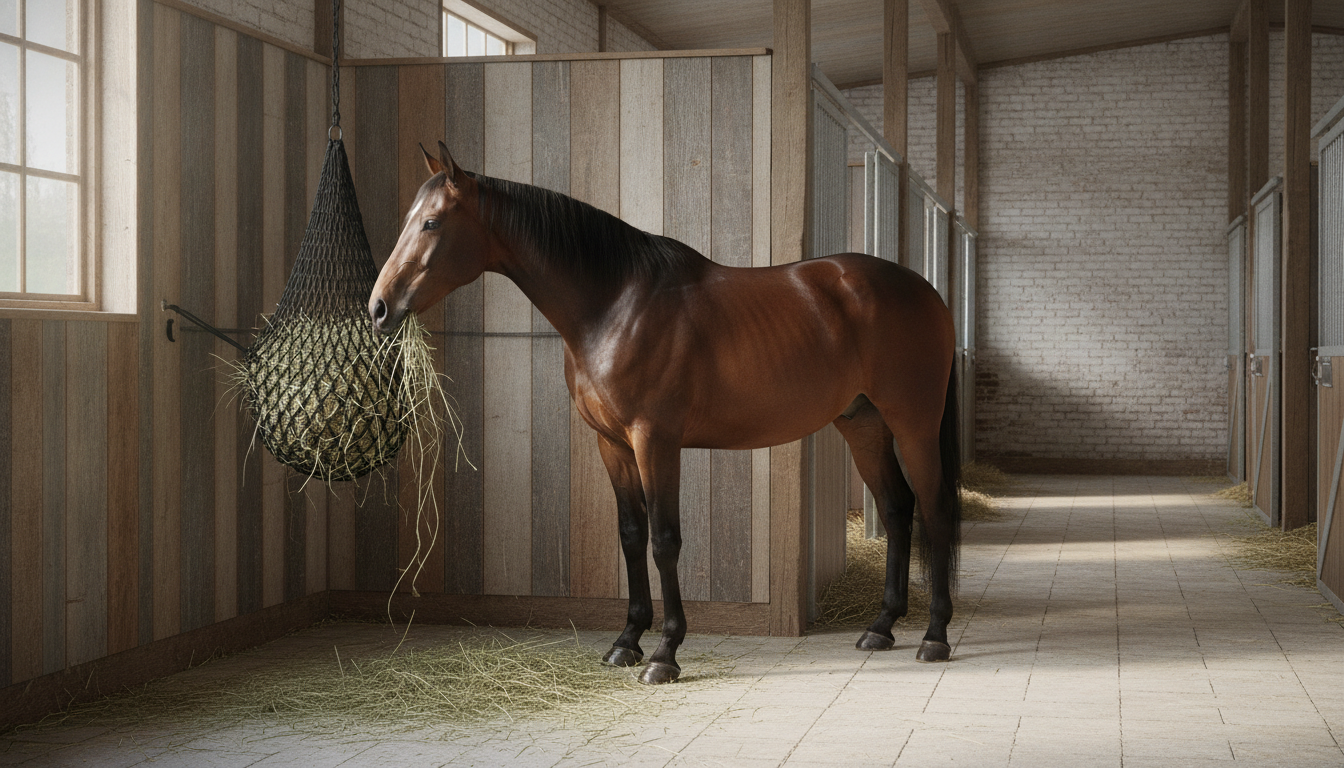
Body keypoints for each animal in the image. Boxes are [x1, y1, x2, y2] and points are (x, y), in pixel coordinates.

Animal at [369, 141, 962, 685]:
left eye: (431, 222)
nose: (378, 307)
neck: (615, 305)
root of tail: (926, 292)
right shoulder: (612, 443)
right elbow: (632, 536)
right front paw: (627, 641)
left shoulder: (655, 441)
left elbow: (664, 539)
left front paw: (665, 653)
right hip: (863, 423)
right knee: (897, 508)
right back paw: (881, 628)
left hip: (913, 423)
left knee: (934, 509)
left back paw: (934, 636)